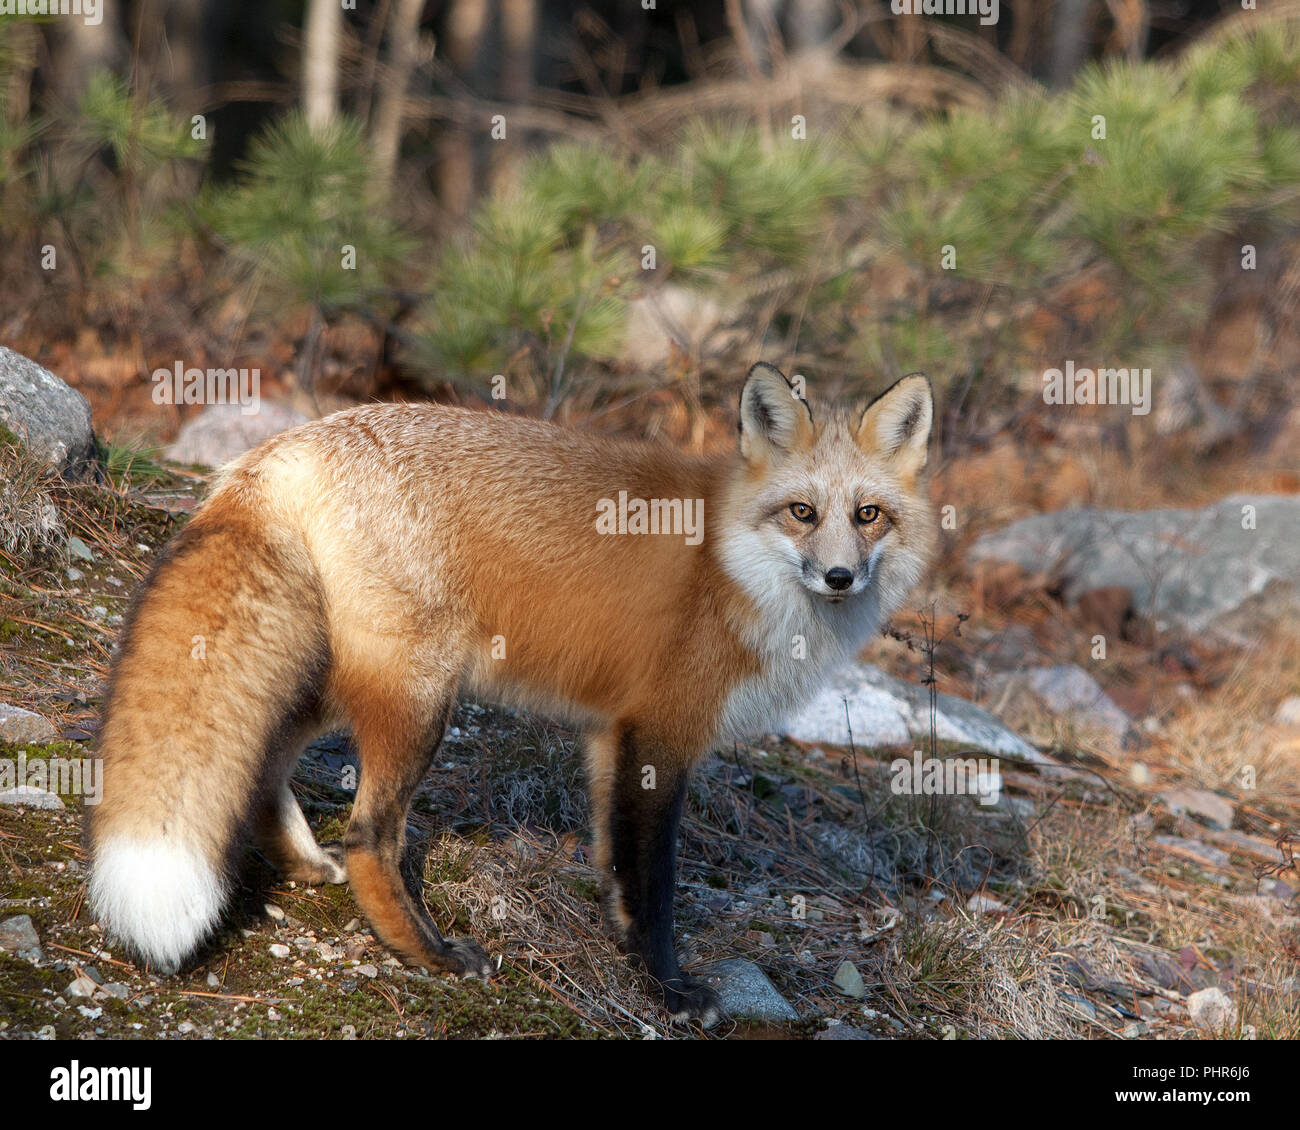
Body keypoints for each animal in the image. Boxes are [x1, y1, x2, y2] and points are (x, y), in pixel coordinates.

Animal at [89, 364, 935, 1024]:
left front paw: (622, 951)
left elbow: (616, 869)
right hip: (422, 696)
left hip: (343, 675)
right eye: (802, 513)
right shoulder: (660, 733)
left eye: (868, 515)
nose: (840, 577)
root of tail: (285, 448)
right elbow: (655, 883)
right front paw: (667, 992)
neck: (729, 564)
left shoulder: (609, 734)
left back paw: (304, 865)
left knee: (264, 762)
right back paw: (428, 953)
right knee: (369, 835)